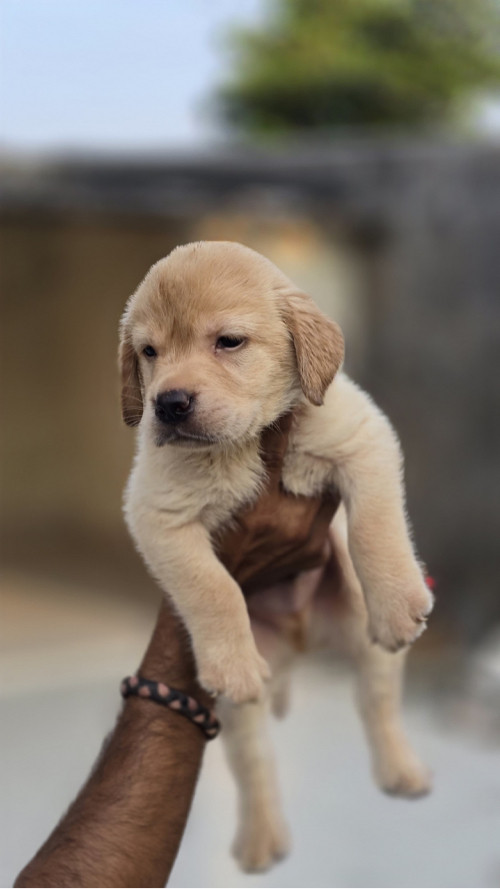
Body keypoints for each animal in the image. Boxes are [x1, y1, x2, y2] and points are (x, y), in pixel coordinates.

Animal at [120, 239, 434, 872]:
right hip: (238, 713)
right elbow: (212, 588)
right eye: (149, 352)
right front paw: (229, 659)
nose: (168, 404)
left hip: (368, 649)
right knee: (255, 763)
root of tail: (302, 641)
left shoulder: (361, 436)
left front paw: (396, 598)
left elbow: (373, 527)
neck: (243, 444)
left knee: (378, 707)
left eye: (229, 342)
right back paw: (261, 838)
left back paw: (401, 770)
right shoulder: (158, 514)